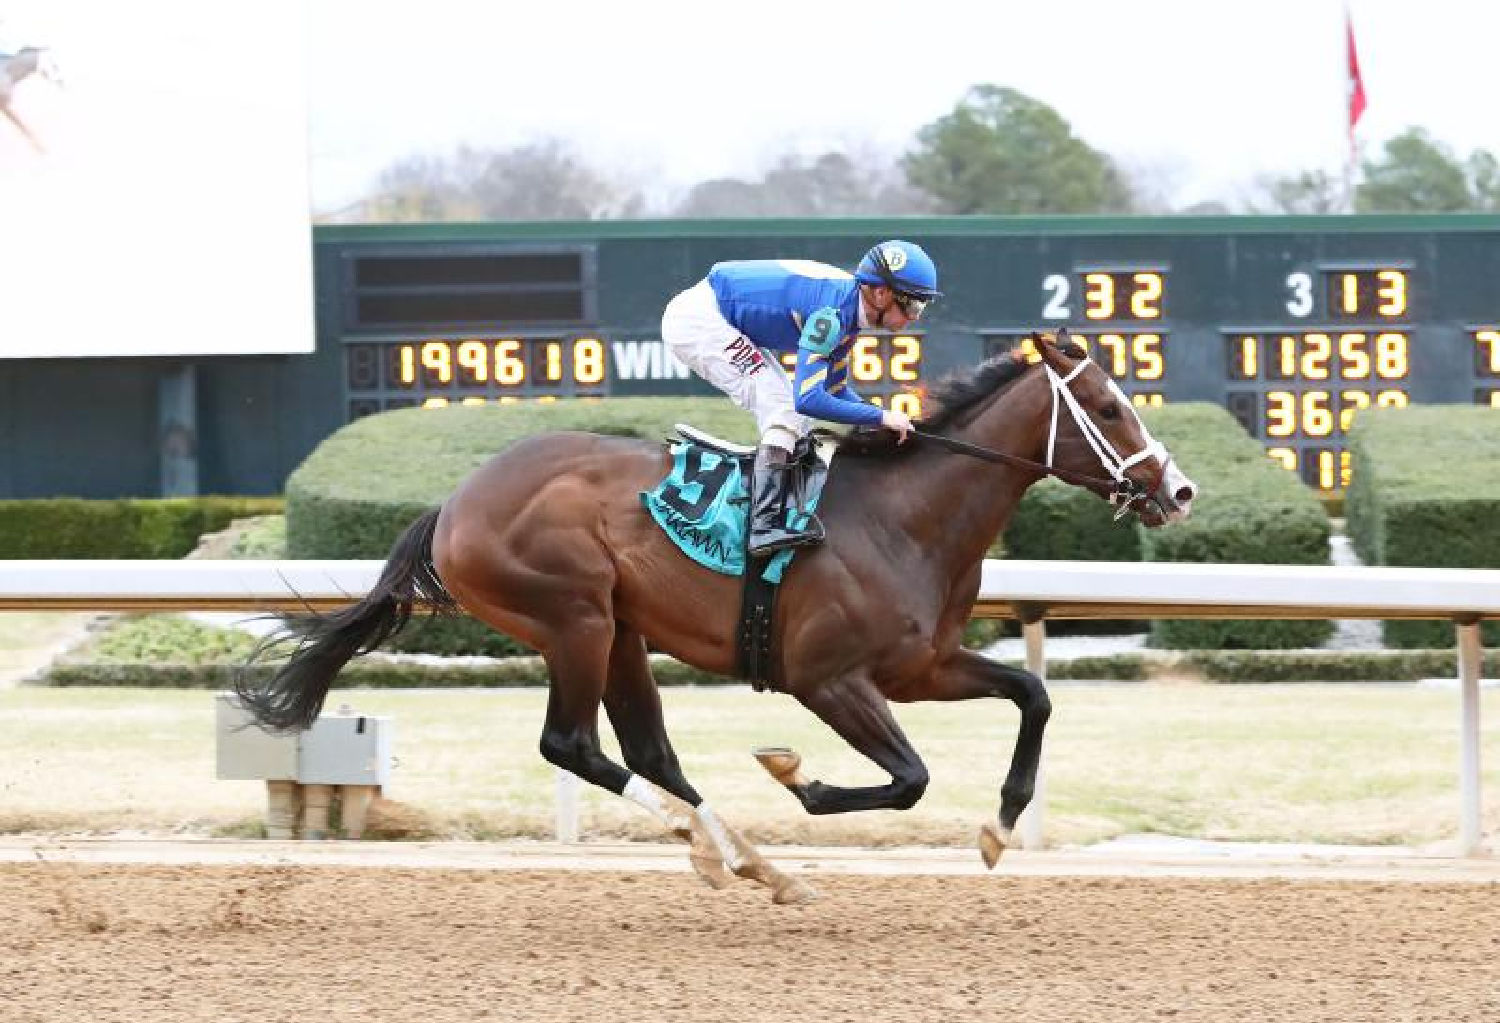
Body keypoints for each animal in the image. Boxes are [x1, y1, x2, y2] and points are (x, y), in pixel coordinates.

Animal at [234, 330, 1197, 904]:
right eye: (1108, 407)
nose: (1178, 489)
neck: (903, 516)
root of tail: (454, 502)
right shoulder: (827, 679)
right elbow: (910, 776)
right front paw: (798, 776)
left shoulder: (920, 667)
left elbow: (1033, 695)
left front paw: (1001, 825)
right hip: (574, 618)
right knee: (571, 743)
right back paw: (711, 843)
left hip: (620, 630)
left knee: (647, 750)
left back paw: (745, 857)